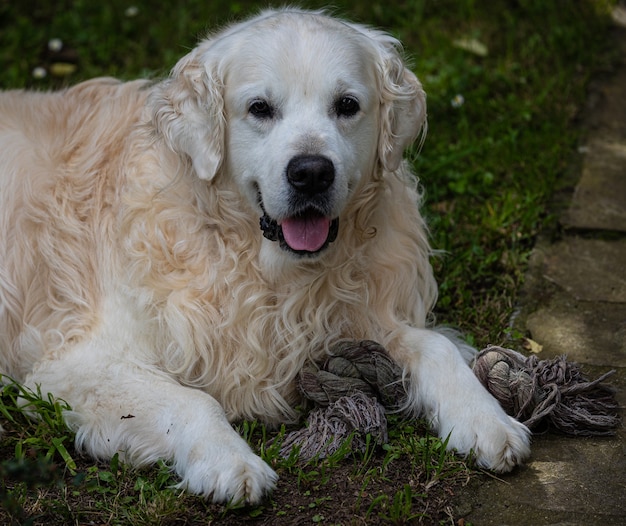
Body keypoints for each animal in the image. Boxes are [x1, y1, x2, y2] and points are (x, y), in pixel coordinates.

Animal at [0, 7, 528, 504]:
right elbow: (193, 400)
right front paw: (229, 462)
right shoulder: (77, 363)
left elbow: (437, 348)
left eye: (347, 105)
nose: (311, 173)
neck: (265, 270)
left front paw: (486, 419)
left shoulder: (359, 319)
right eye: (260, 108)